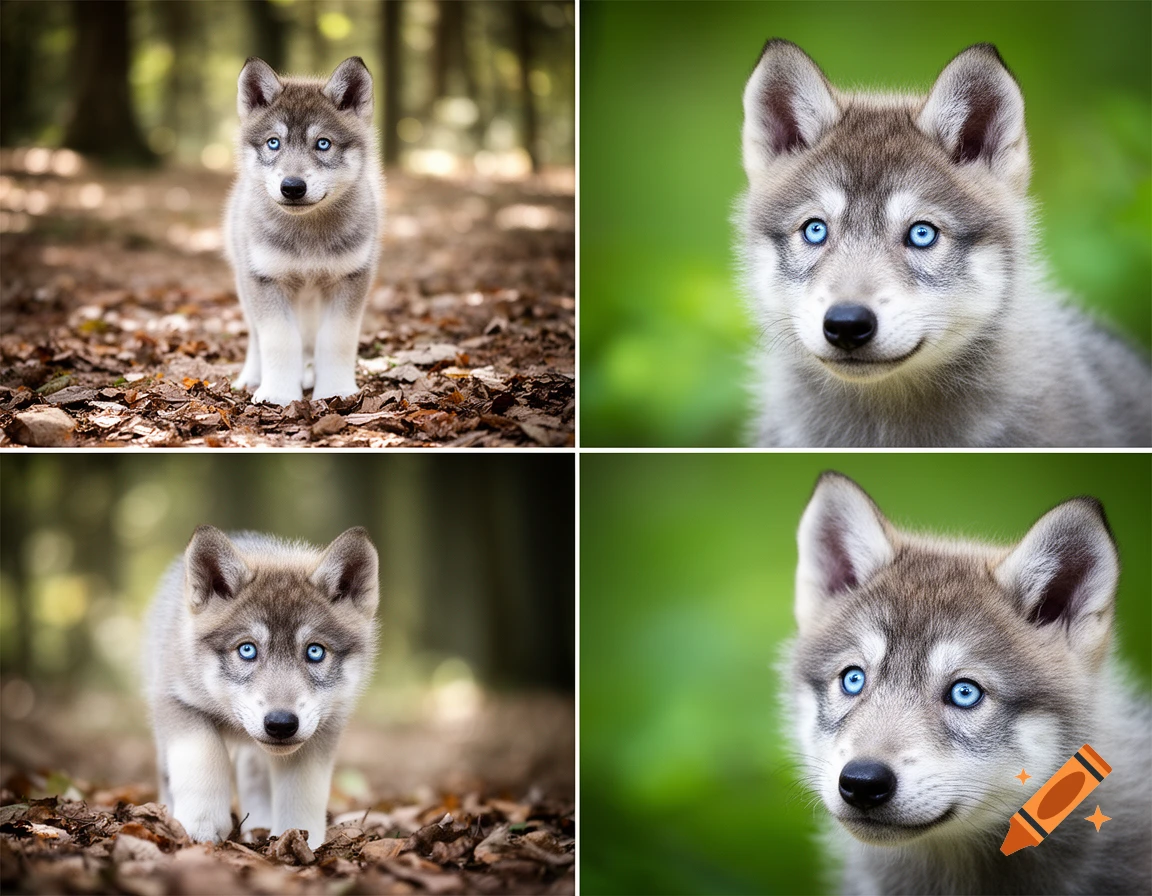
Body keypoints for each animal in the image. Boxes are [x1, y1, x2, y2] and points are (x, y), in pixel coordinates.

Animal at [145, 526, 379, 850]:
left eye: (315, 652)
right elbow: (205, 757)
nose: (281, 723)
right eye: (247, 650)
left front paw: (303, 842)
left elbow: (302, 793)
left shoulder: (322, 729)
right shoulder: (177, 700)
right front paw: (201, 827)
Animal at [225, 56, 383, 405]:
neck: (308, 236)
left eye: (323, 144)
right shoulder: (266, 279)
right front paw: (277, 394)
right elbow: (279, 342)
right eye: (273, 142)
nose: (293, 187)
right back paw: (252, 378)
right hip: (246, 285)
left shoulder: (351, 278)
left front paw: (335, 390)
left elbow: (335, 340)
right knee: (256, 337)